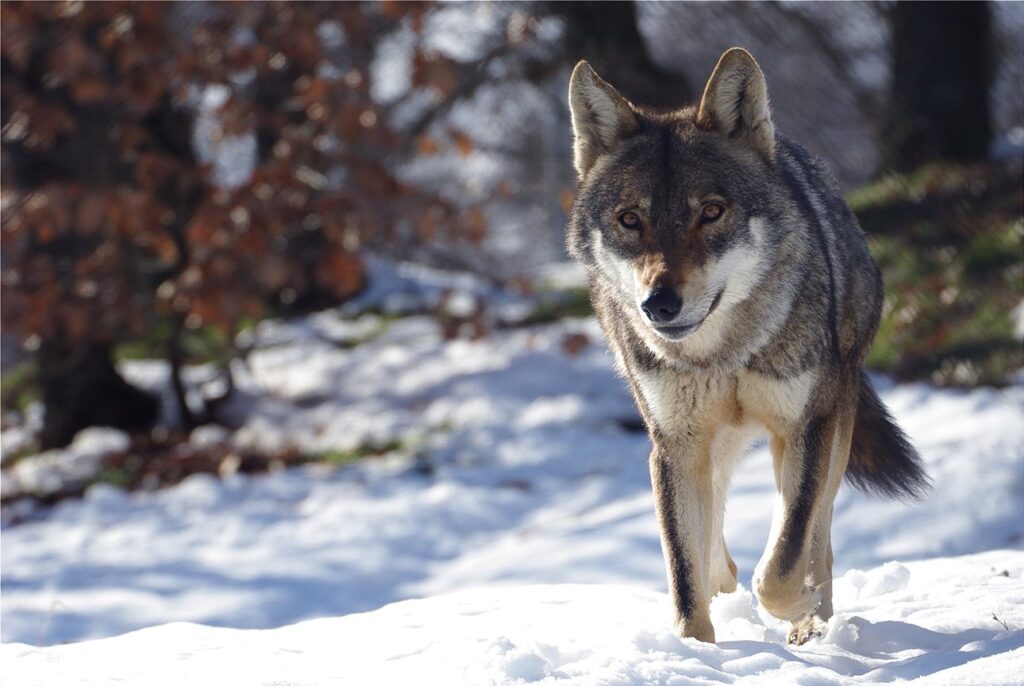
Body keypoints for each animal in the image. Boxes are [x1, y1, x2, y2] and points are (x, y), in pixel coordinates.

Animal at [569, 47, 929, 647]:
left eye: (711, 212)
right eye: (630, 220)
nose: (658, 305)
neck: (725, 355)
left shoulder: (807, 424)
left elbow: (783, 561)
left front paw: (800, 606)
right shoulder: (673, 446)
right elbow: (684, 574)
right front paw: (693, 652)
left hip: (834, 419)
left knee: (817, 536)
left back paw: (814, 620)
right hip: (714, 445)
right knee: (718, 550)